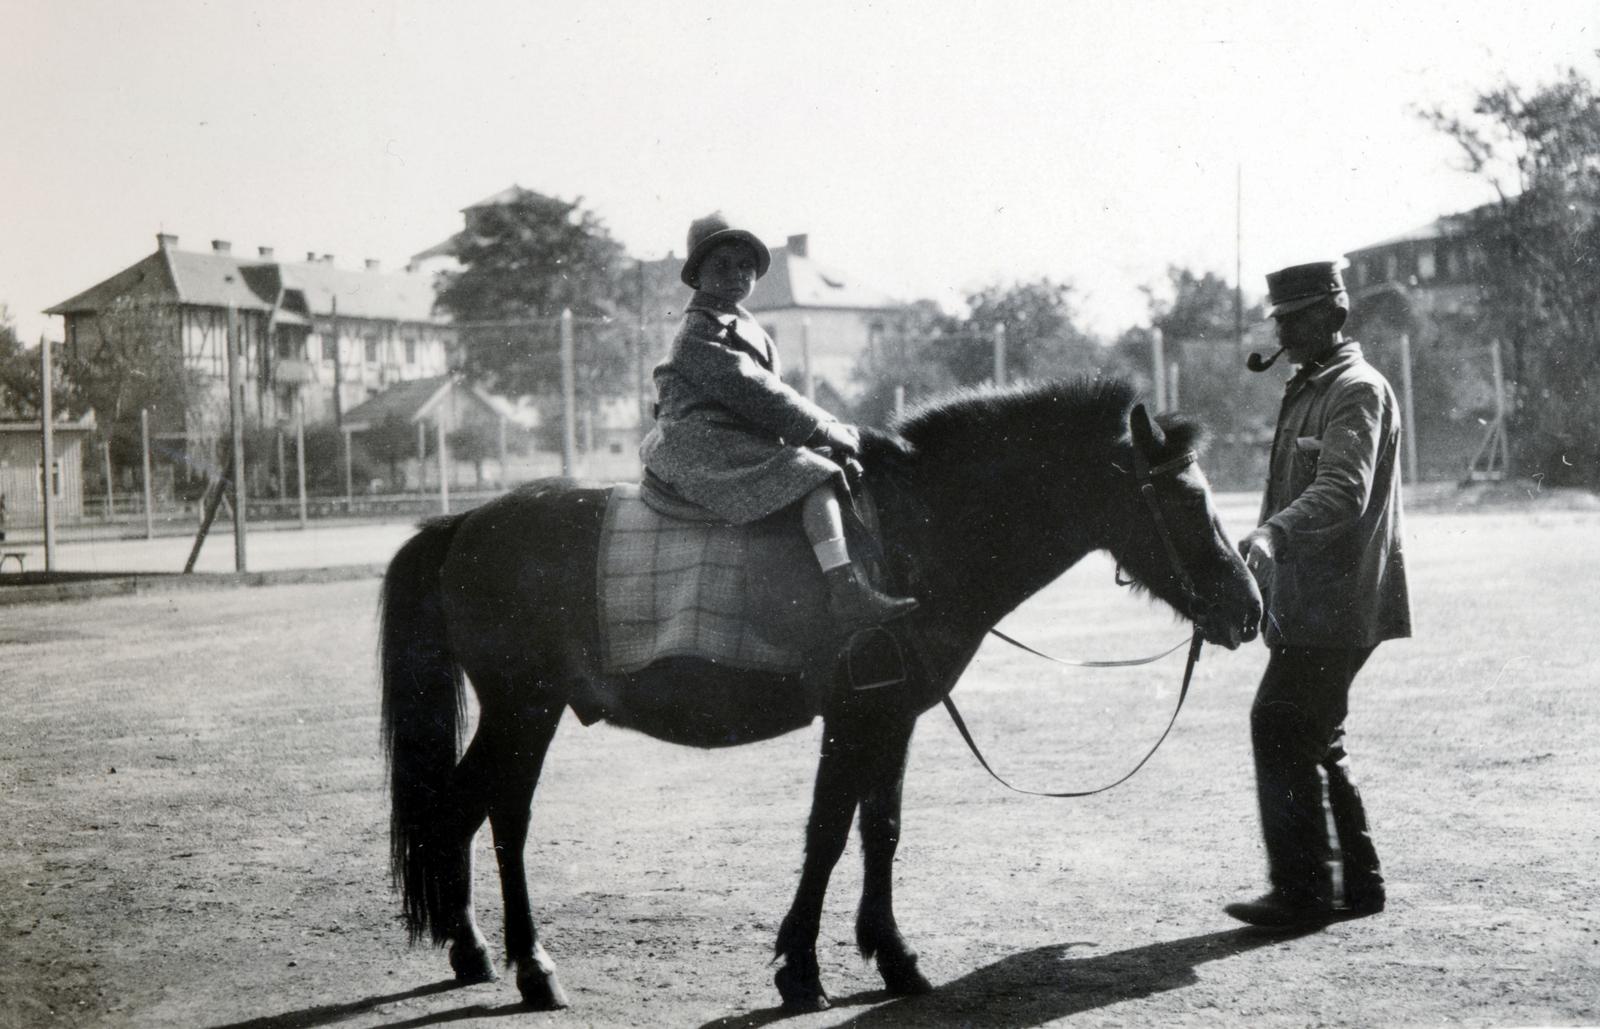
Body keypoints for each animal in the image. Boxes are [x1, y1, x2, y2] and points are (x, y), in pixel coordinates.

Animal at [377, 377, 1260, 1011]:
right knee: (501, 817)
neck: (918, 533)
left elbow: (881, 831)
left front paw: (894, 955)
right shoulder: (856, 713)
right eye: (1185, 498)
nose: (1249, 606)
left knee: (464, 809)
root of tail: (465, 522)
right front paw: (800, 967)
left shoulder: (893, 717)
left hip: (523, 711)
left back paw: (472, 949)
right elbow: (829, 833)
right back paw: (529, 963)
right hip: (524, 708)